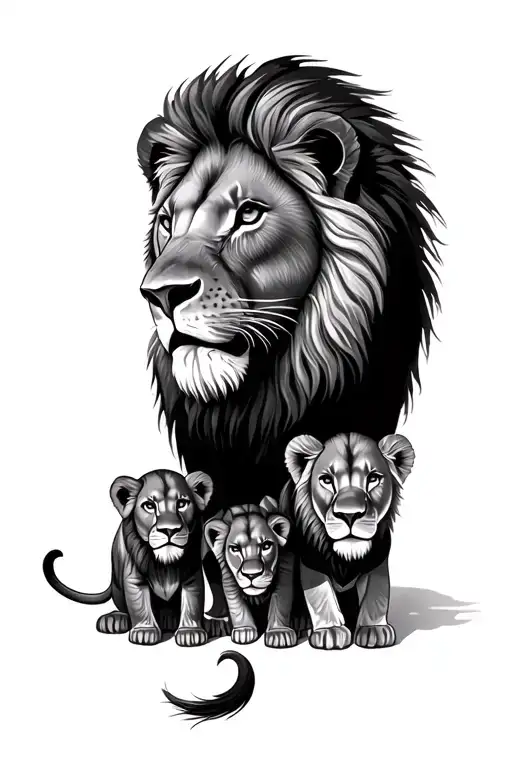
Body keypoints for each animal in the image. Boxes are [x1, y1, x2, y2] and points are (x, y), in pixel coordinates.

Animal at [43, 469, 213, 646]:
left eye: (181, 503)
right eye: (149, 506)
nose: (169, 530)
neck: (164, 564)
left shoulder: (192, 577)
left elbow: (192, 603)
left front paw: (190, 632)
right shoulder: (133, 579)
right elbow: (139, 604)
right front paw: (144, 631)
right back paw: (114, 620)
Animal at [204, 496, 297, 648]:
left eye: (266, 545)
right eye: (235, 549)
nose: (252, 574)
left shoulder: (285, 568)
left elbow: (280, 602)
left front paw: (279, 632)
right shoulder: (229, 577)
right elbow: (237, 606)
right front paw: (244, 630)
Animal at [283, 431, 415, 650]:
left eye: (373, 478)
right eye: (326, 480)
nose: (350, 515)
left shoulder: (377, 561)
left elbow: (376, 593)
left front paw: (374, 630)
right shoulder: (311, 561)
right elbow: (321, 594)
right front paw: (330, 631)